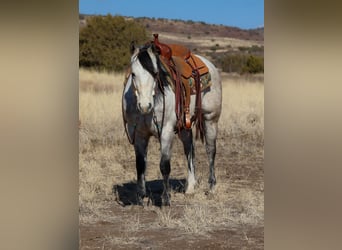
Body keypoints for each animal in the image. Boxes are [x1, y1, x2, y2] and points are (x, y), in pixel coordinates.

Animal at [121, 41, 223, 205]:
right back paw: (190, 187)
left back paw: (212, 187)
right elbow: (140, 165)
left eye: (155, 73)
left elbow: (164, 165)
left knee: (210, 151)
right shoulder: (139, 133)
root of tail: (208, 64)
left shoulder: (166, 131)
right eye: (133, 74)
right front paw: (141, 196)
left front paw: (166, 198)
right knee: (190, 149)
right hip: (184, 127)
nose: (145, 106)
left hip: (210, 119)